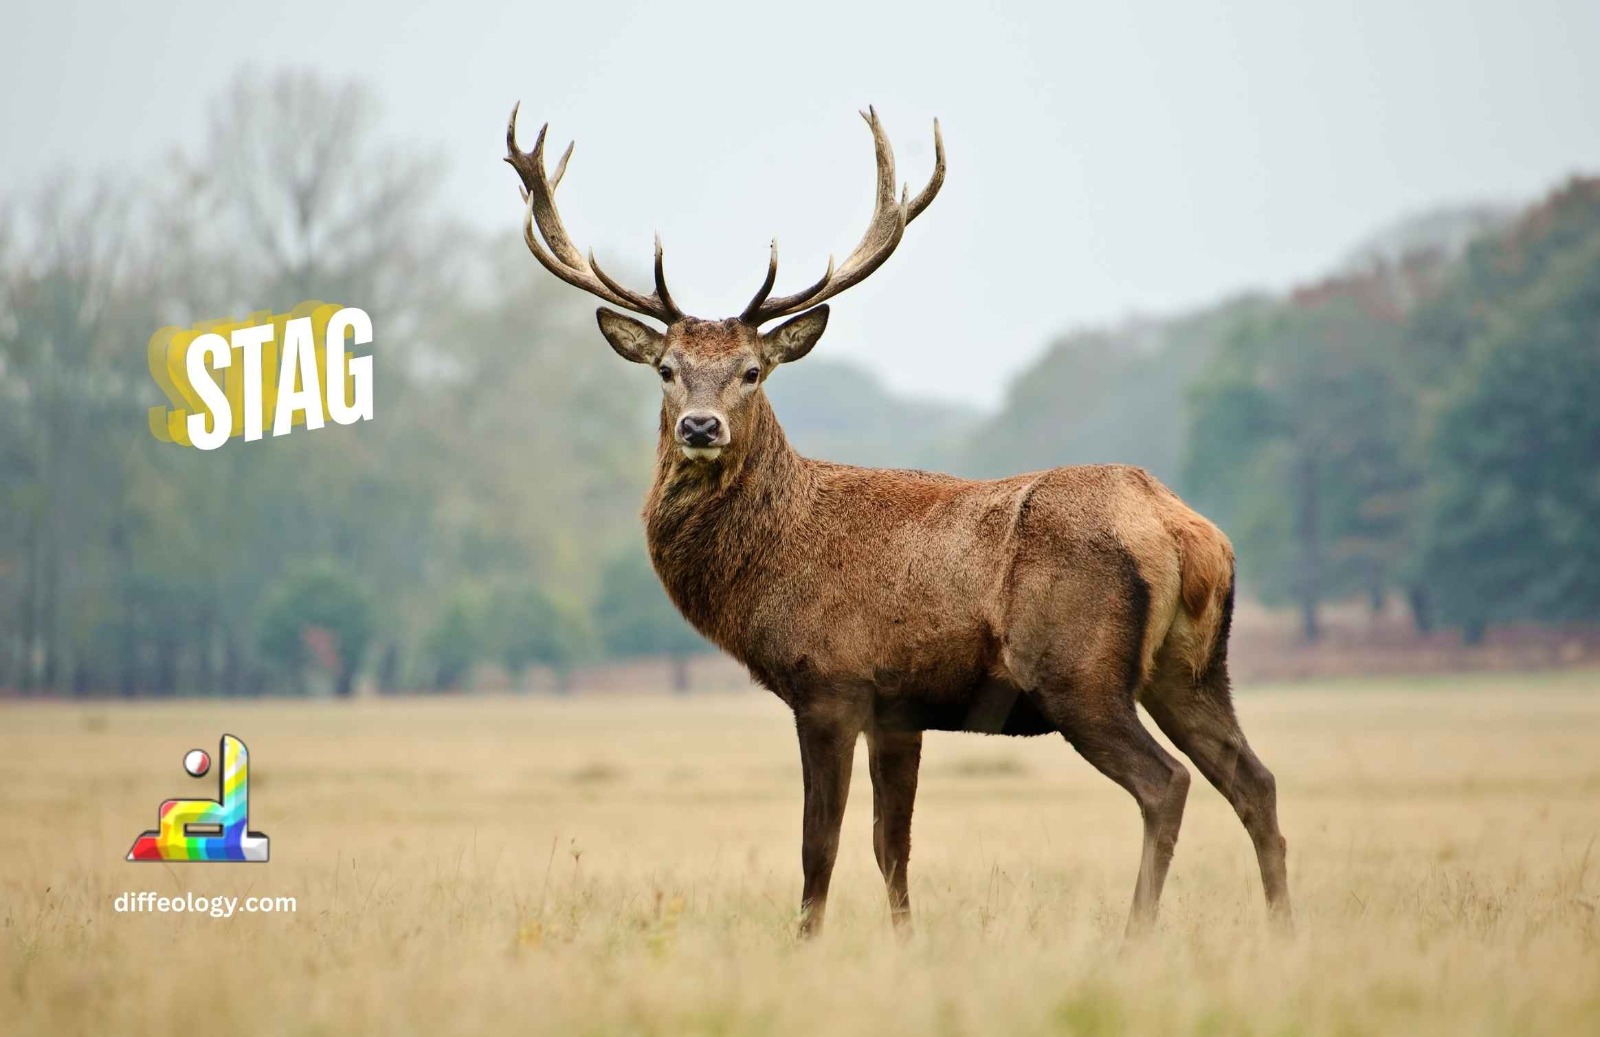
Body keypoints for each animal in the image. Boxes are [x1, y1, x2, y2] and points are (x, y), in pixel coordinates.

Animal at [503, 104, 1292, 940]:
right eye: (666, 369)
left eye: (752, 370)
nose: (700, 426)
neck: (771, 563)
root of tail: (1187, 533)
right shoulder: (898, 708)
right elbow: (893, 844)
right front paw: (905, 939)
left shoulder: (830, 681)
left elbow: (819, 843)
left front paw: (807, 941)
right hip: (1193, 668)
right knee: (1256, 780)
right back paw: (1283, 928)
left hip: (1080, 671)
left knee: (1165, 783)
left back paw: (1135, 934)